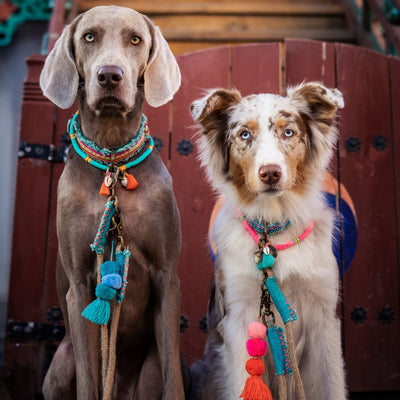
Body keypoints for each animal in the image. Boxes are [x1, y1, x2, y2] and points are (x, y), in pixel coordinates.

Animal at [39, 6, 190, 400]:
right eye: (89, 36)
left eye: (135, 39)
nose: (110, 75)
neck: (111, 155)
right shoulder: (79, 285)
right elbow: (89, 379)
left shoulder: (167, 277)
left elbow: (173, 379)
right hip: (59, 362)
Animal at [190, 83, 346, 400]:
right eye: (244, 135)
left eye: (288, 132)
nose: (270, 172)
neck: (273, 228)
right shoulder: (238, 315)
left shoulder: (325, 315)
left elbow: (333, 385)